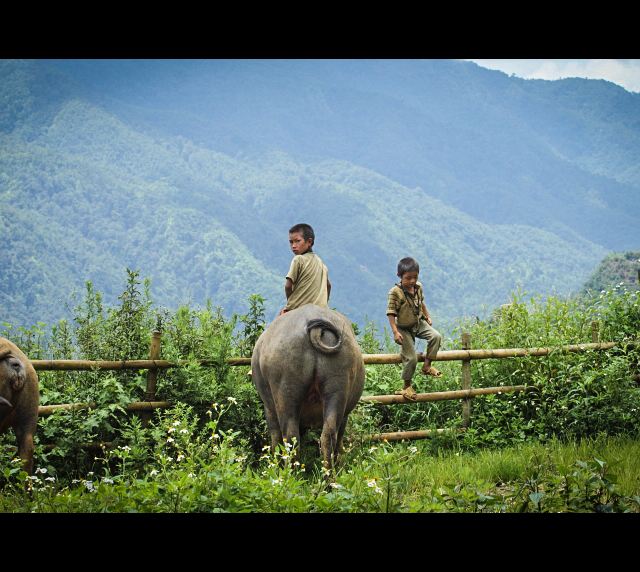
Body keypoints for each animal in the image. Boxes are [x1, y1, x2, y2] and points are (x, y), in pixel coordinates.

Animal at [252, 304, 368, 470]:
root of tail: (315, 330)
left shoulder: (269, 409)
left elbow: (275, 437)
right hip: (338, 386)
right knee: (329, 435)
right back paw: (329, 474)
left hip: (285, 391)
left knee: (291, 437)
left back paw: (290, 472)